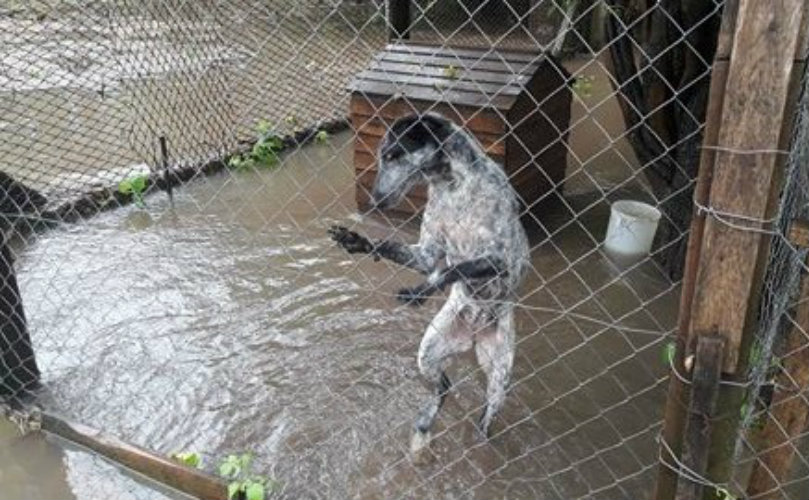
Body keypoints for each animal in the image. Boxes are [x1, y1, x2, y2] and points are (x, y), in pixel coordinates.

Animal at [328, 112, 532, 450]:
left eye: (392, 155)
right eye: (382, 156)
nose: (374, 200)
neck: (454, 187)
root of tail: (473, 333)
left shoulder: (500, 261)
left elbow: (451, 270)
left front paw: (419, 292)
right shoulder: (426, 253)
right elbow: (396, 249)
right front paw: (357, 241)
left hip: (499, 376)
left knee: (485, 415)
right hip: (428, 353)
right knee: (444, 387)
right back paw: (425, 422)